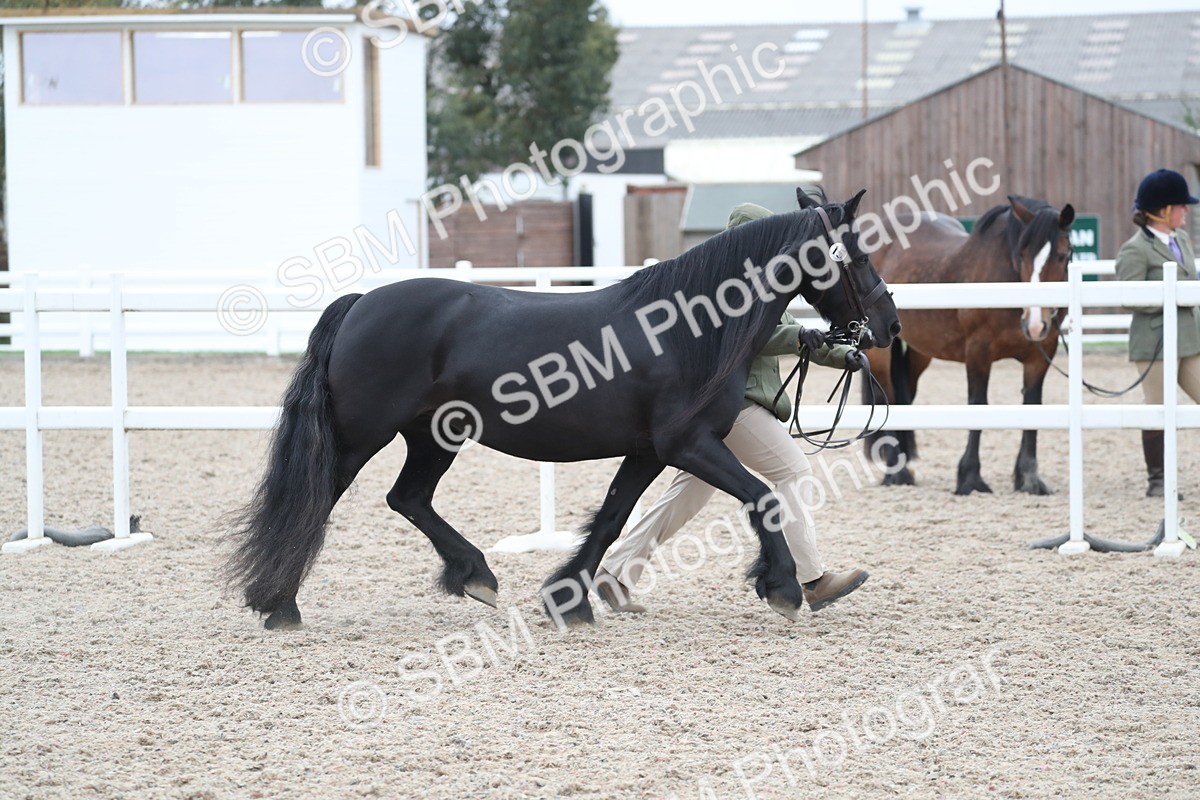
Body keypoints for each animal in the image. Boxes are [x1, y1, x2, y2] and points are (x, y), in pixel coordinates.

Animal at [225, 189, 901, 630]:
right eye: (861, 254)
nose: (888, 327)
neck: (688, 329)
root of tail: (363, 301)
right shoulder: (687, 443)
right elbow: (762, 497)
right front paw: (782, 585)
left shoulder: (649, 450)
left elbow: (611, 519)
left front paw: (568, 600)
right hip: (360, 435)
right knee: (318, 501)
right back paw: (280, 605)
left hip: (434, 436)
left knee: (408, 498)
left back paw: (475, 574)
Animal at [863, 195, 1075, 495]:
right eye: (1022, 254)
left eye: (1062, 255)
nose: (1035, 324)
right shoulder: (978, 351)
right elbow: (978, 405)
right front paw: (970, 477)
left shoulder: (1040, 356)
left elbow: (1032, 406)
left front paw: (1029, 478)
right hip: (880, 352)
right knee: (888, 397)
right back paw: (896, 471)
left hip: (919, 352)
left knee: (906, 395)